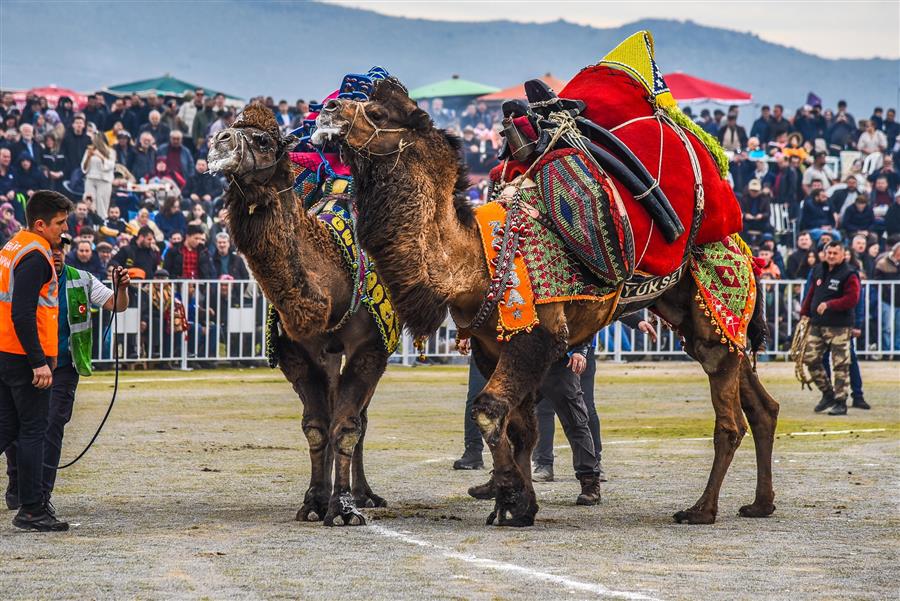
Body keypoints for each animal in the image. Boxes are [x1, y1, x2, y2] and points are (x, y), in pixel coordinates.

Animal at [211, 105, 394, 528]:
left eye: (263, 140)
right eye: (229, 127)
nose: (218, 143)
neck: (333, 279)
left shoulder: (370, 348)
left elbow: (346, 427)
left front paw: (344, 507)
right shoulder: (295, 351)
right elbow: (316, 427)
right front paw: (314, 501)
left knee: (360, 418)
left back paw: (365, 495)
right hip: (327, 355)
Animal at [316, 78, 780, 524]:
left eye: (377, 112)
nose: (327, 108)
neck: (475, 260)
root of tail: (743, 246)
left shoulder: (537, 336)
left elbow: (489, 411)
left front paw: (510, 498)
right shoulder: (491, 344)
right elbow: (520, 427)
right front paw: (519, 506)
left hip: (716, 302)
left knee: (729, 421)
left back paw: (701, 510)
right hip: (699, 318)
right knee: (762, 406)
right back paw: (760, 504)